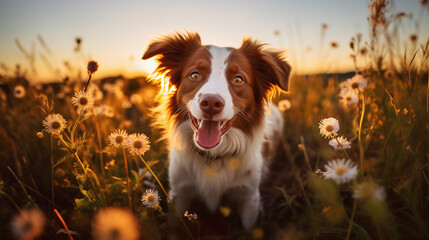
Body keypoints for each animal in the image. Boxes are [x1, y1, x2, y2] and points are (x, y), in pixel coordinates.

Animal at [142, 31, 290, 229]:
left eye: (238, 79)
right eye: (195, 75)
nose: (211, 103)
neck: (214, 155)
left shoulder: (249, 197)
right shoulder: (179, 192)